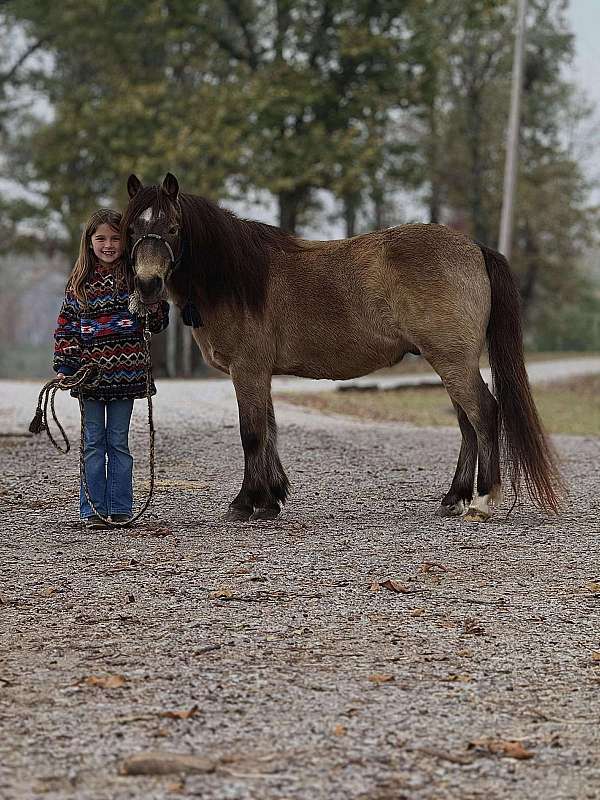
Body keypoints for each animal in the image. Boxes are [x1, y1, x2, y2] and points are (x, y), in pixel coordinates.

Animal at [120, 174, 564, 520]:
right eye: (132, 230)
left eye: (173, 228)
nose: (147, 284)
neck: (236, 279)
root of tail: (474, 248)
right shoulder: (260, 374)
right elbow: (270, 431)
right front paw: (271, 499)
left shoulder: (247, 371)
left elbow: (252, 433)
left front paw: (246, 503)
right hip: (451, 361)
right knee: (467, 424)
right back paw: (453, 499)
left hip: (453, 361)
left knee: (484, 414)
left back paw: (483, 501)